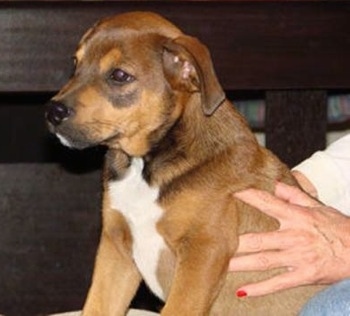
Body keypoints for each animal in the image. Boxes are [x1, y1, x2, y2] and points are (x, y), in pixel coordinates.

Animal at [45, 11, 322, 314]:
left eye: (119, 75)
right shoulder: (115, 248)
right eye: (76, 63)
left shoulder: (204, 249)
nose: (52, 111)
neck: (146, 167)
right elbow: (96, 306)